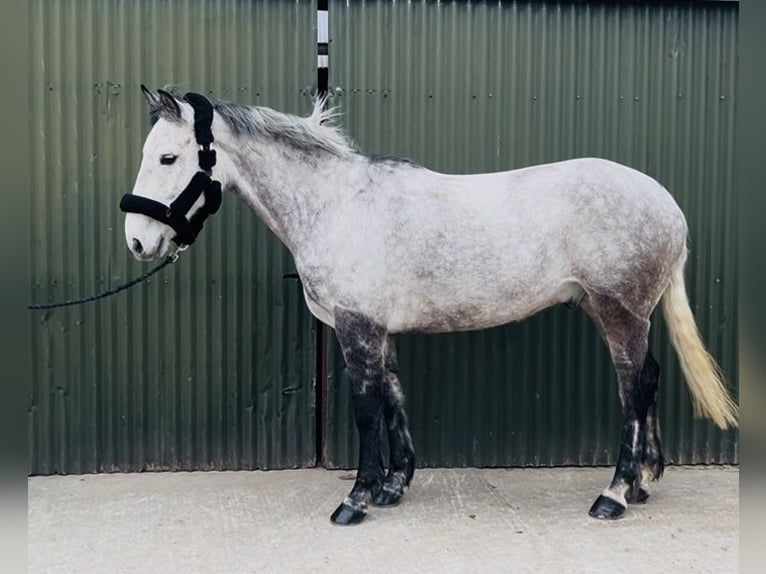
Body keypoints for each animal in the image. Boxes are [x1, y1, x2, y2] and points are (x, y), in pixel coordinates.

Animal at [122, 86, 738, 525]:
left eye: (169, 157)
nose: (137, 242)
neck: (336, 204)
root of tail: (666, 204)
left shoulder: (357, 328)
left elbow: (366, 407)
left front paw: (356, 499)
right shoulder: (380, 331)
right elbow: (394, 398)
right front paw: (394, 486)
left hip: (619, 313)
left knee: (633, 388)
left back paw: (614, 495)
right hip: (623, 314)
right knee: (649, 380)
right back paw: (642, 483)